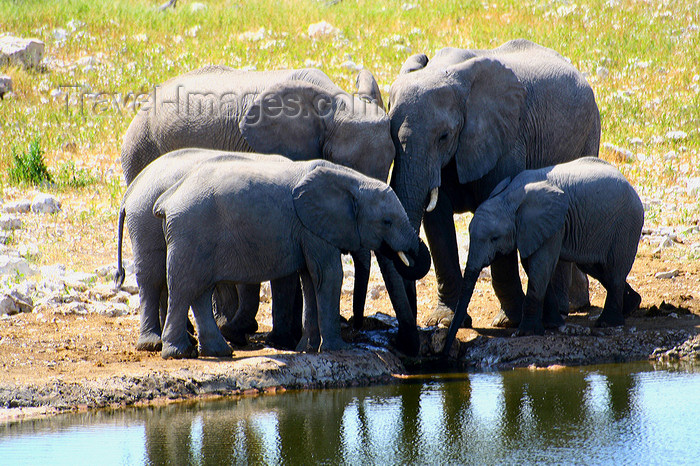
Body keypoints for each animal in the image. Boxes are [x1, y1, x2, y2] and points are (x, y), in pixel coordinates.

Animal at [119, 64, 408, 350]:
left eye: (392, 162)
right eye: (340, 163)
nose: (356, 324)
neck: (332, 100)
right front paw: (278, 339)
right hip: (139, 152)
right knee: (159, 270)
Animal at [152, 158, 432, 358]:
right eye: (387, 222)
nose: (355, 326)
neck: (351, 179)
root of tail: (168, 199)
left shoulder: (308, 229)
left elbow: (310, 279)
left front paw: (307, 349)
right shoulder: (312, 227)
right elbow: (329, 275)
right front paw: (339, 349)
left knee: (199, 291)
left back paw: (219, 352)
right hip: (190, 234)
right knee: (184, 288)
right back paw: (178, 354)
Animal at [386, 39, 600, 328]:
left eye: (444, 136)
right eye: (389, 134)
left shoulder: (506, 139)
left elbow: (497, 212)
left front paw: (508, 322)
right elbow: (437, 220)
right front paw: (444, 321)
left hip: (590, 132)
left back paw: (565, 309)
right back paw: (576, 305)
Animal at [446, 159, 644, 354]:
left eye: (494, 238)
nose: (446, 351)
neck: (509, 197)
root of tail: (630, 186)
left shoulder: (553, 224)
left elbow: (541, 265)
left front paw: (526, 333)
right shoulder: (531, 229)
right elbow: (534, 266)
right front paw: (552, 324)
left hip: (626, 224)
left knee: (614, 269)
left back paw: (607, 322)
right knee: (596, 268)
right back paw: (631, 306)